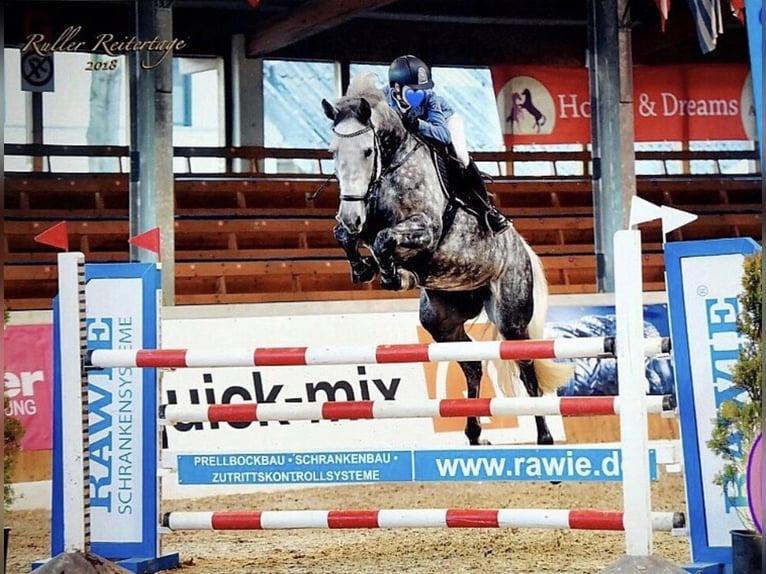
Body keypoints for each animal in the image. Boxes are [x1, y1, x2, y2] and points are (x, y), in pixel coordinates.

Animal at [320, 74, 572, 448]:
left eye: (367, 151)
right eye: (333, 153)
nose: (351, 216)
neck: (392, 165)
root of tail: (521, 247)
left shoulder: (425, 231)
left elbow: (384, 240)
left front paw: (393, 275)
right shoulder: (362, 222)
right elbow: (346, 236)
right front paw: (364, 268)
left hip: (510, 316)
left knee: (525, 367)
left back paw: (544, 436)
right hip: (441, 318)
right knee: (472, 364)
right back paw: (474, 432)